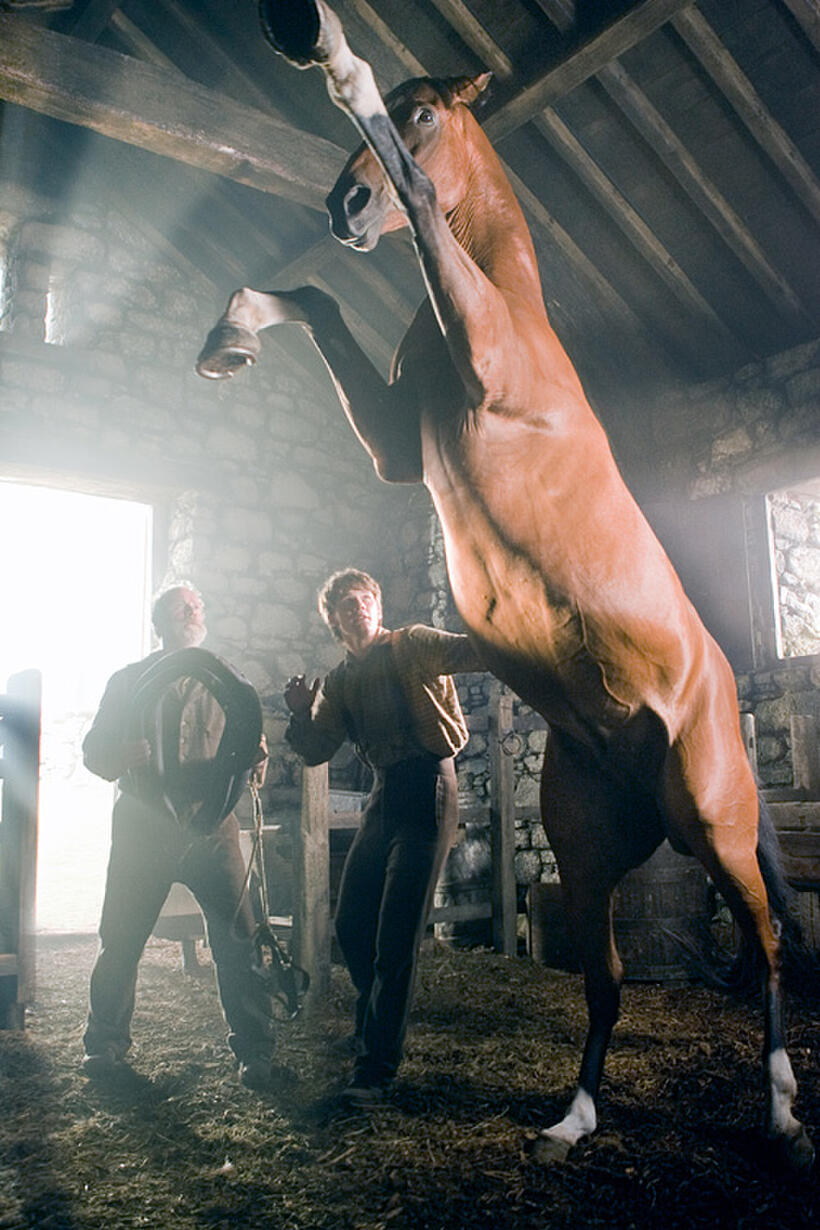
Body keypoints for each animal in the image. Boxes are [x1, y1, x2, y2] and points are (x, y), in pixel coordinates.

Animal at [196, 0, 814, 1170]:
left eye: (425, 112)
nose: (344, 207)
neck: (506, 312)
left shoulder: (480, 370)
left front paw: (333, 54)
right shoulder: (398, 451)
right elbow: (317, 299)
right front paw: (232, 331)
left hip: (716, 822)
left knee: (764, 950)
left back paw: (781, 1111)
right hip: (591, 844)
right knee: (607, 979)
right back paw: (571, 1118)